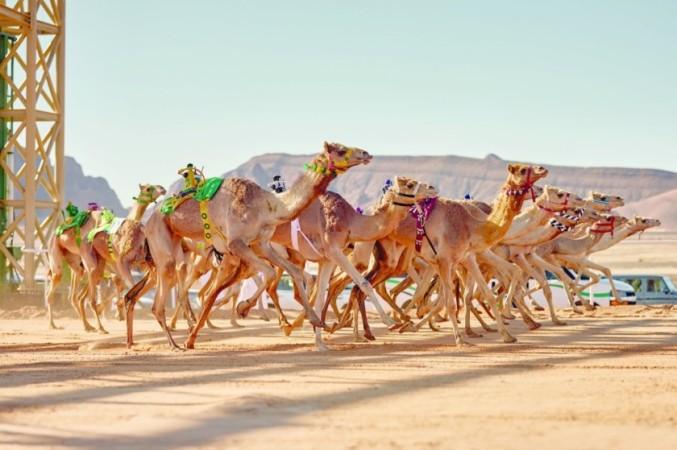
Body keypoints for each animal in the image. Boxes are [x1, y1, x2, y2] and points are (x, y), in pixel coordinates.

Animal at [125, 142, 373, 349]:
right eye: (340, 149)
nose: (365, 153)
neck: (268, 206)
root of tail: (148, 221)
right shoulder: (237, 243)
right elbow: (269, 273)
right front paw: (244, 308)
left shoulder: (262, 243)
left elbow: (293, 272)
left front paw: (314, 320)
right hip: (165, 241)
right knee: (169, 294)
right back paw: (176, 343)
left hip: (172, 246)